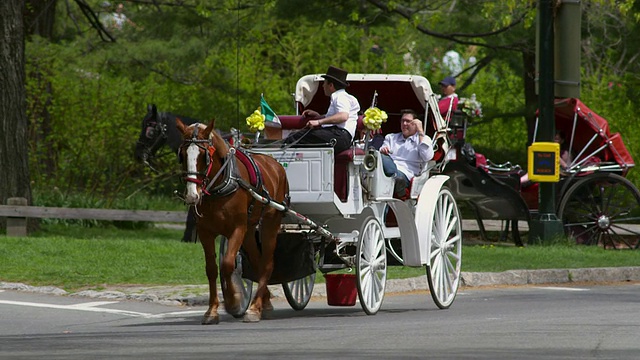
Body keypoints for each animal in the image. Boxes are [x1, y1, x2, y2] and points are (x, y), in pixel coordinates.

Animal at [174, 118, 286, 324]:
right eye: (183, 154)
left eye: (204, 155)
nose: (192, 195)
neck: (220, 186)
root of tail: (275, 164)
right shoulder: (205, 231)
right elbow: (211, 269)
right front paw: (212, 311)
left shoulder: (237, 229)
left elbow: (228, 264)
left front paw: (233, 300)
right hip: (250, 231)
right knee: (258, 263)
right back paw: (263, 303)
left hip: (269, 223)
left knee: (267, 263)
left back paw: (255, 307)